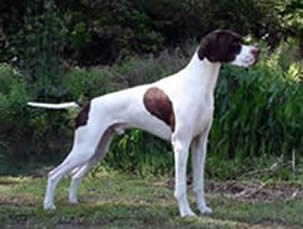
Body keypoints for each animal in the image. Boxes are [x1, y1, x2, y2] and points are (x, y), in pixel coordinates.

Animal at [28, 29, 260, 217]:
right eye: (234, 43)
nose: (257, 51)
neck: (198, 84)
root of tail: (86, 104)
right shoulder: (181, 144)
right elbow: (181, 187)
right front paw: (186, 213)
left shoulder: (200, 144)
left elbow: (199, 184)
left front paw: (203, 209)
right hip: (84, 148)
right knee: (53, 174)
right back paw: (48, 206)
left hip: (97, 151)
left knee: (75, 175)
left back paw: (73, 201)